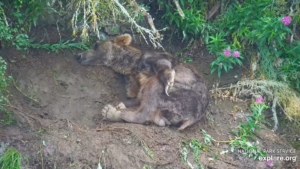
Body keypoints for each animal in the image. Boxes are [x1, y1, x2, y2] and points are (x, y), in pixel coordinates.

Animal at [76, 33, 210, 130]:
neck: (131, 66)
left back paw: (110, 113)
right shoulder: (134, 83)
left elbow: (164, 69)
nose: (78, 55)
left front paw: (168, 82)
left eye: (96, 44)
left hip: (180, 96)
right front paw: (122, 103)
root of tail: (191, 118)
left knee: (146, 111)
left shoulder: (158, 59)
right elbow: (136, 96)